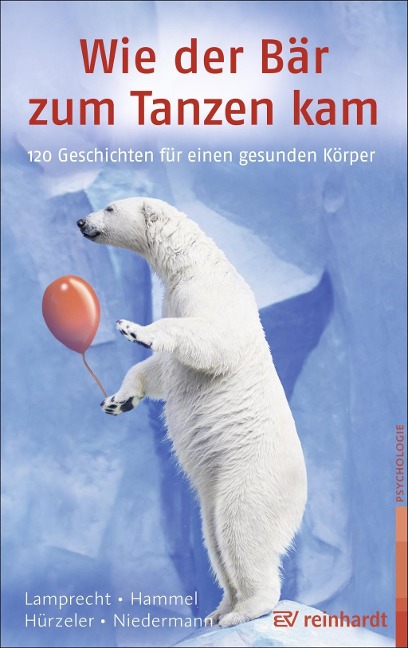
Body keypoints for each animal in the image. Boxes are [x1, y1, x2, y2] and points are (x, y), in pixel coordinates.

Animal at [77, 197, 307, 628]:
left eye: (110, 207)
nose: (82, 221)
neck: (191, 263)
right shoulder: (177, 294)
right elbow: (159, 371)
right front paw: (117, 401)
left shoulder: (209, 296)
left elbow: (211, 343)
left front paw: (133, 328)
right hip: (214, 490)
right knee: (213, 537)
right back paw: (219, 610)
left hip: (249, 475)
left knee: (240, 529)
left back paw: (245, 610)